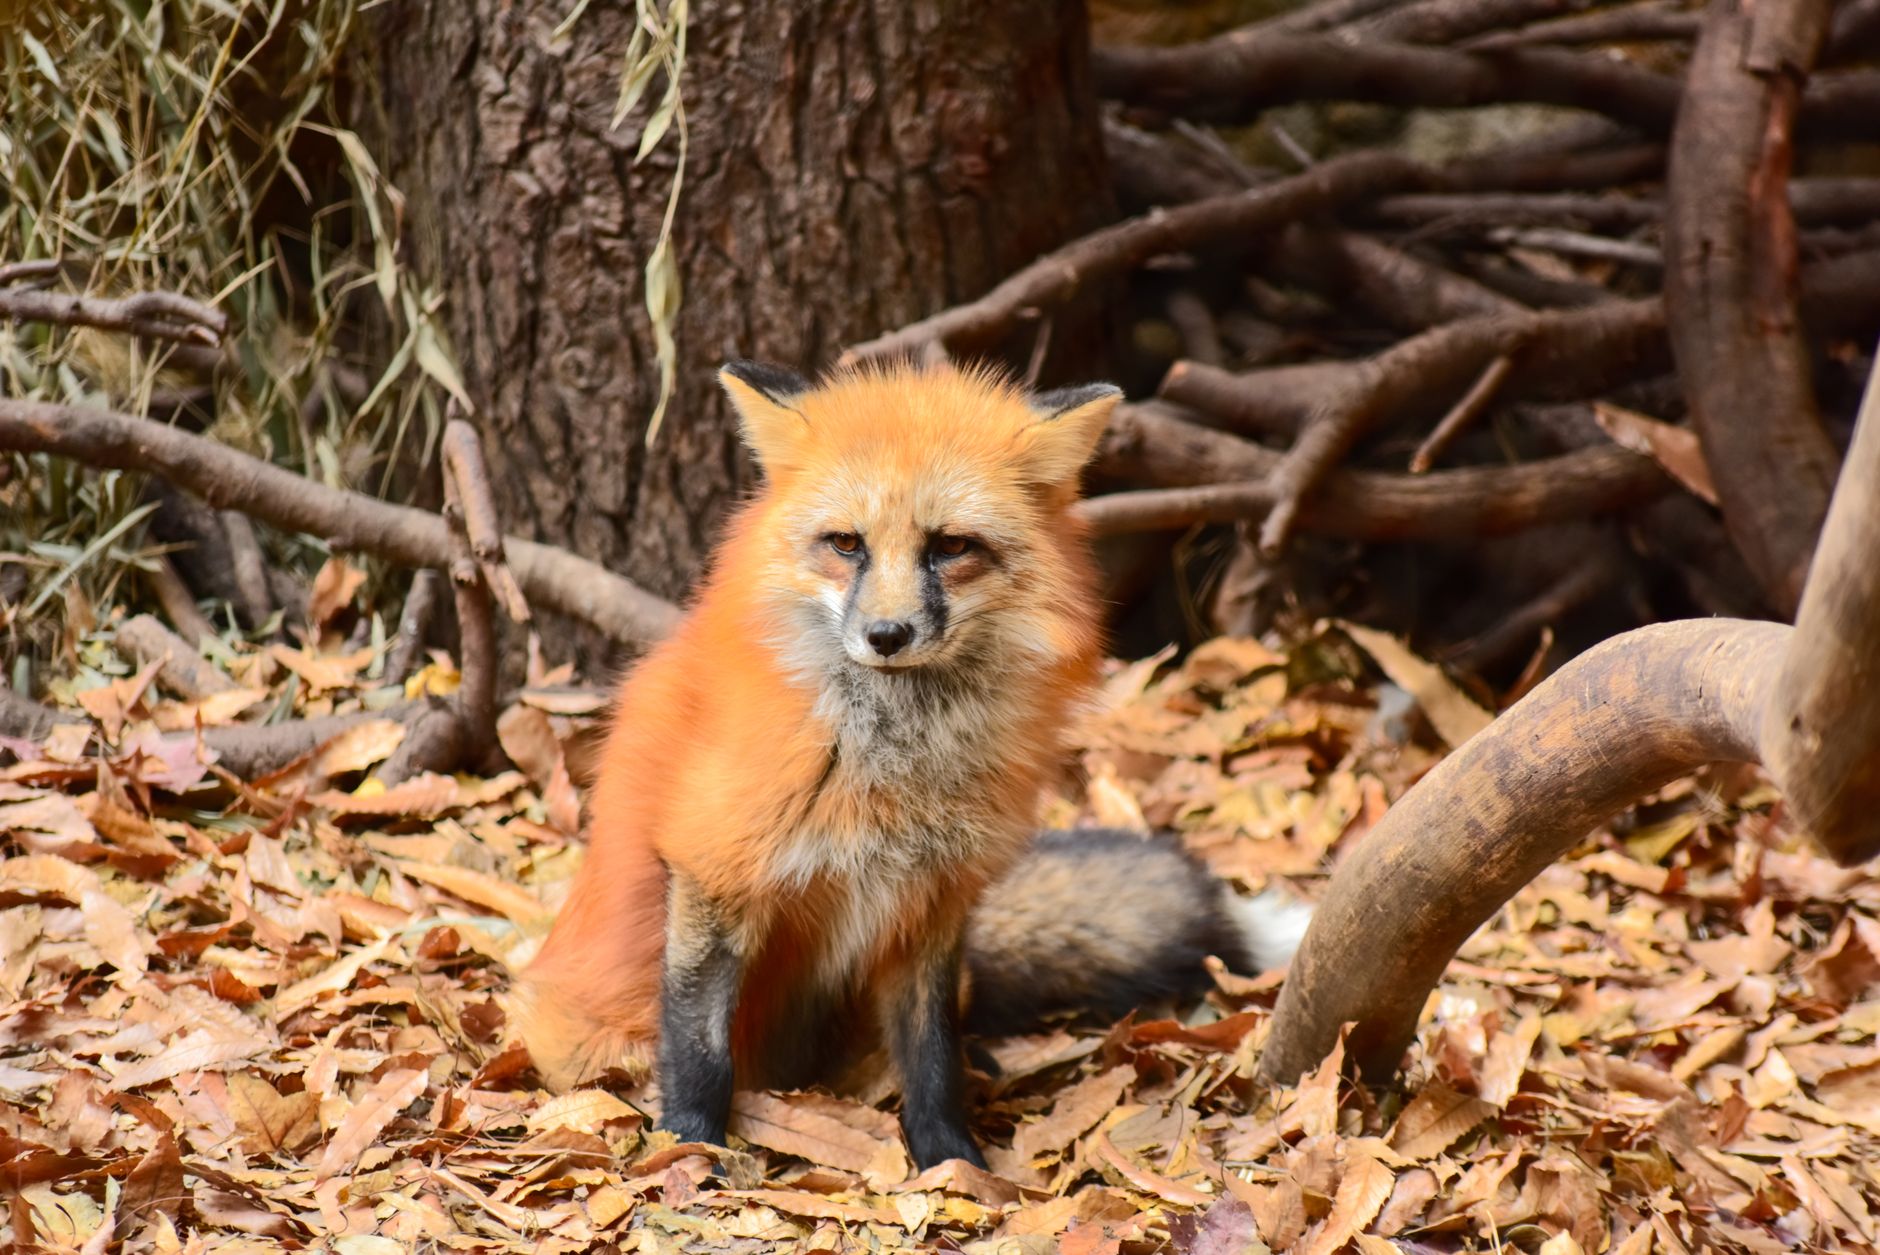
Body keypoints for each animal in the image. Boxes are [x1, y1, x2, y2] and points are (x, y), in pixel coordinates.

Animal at [510, 360, 1312, 1170]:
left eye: (951, 546)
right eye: (845, 543)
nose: (887, 635)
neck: (889, 765)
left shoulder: (930, 899)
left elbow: (931, 1052)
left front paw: (951, 1159)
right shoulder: (714, 866)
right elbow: (697, 1042)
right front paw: (689, 1145)